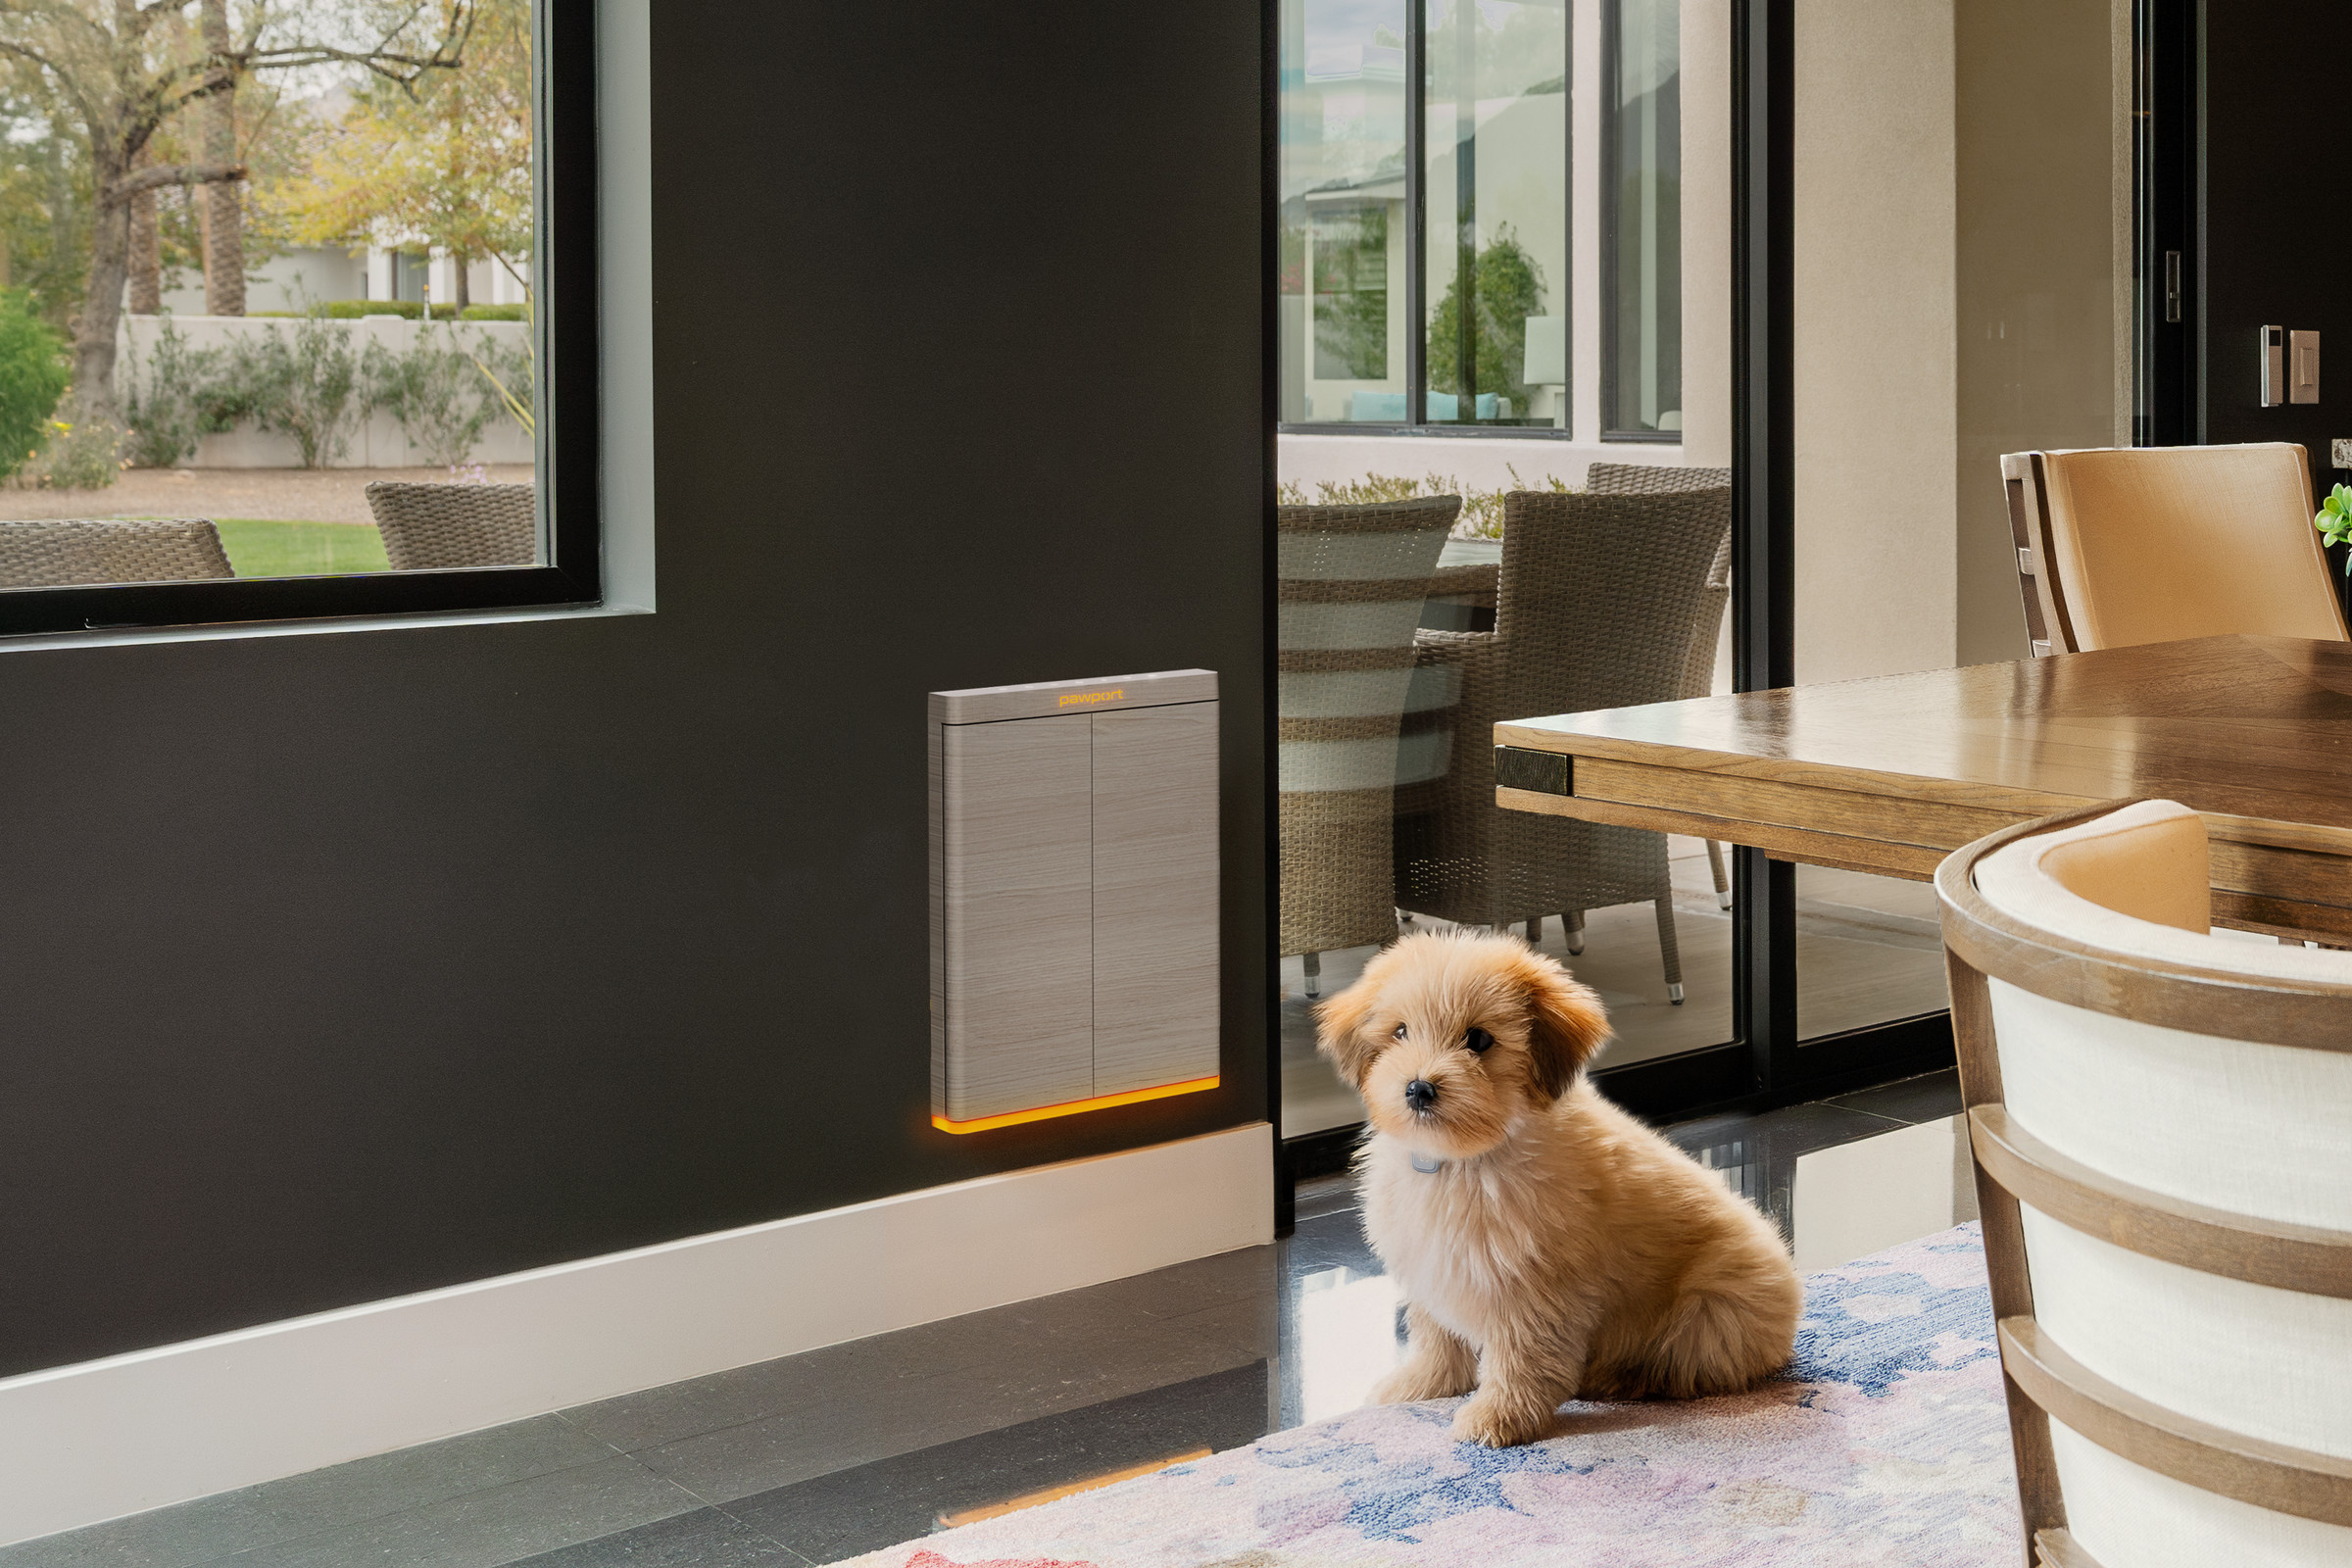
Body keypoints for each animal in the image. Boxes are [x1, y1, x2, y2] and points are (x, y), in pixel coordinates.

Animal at [1326, 926, 1796, 1457]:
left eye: (1478, 1039)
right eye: (1401, 1032)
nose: (1419, 1089)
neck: (1462, 1161)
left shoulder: (1532, 1287)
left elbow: (1520, 1358)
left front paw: (1498, 1417)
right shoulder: (1433, 1264)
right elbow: (1435, 1336)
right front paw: (1422, 1385)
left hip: (1713, 1307)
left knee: (1688, 1366)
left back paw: (1618, 1377)